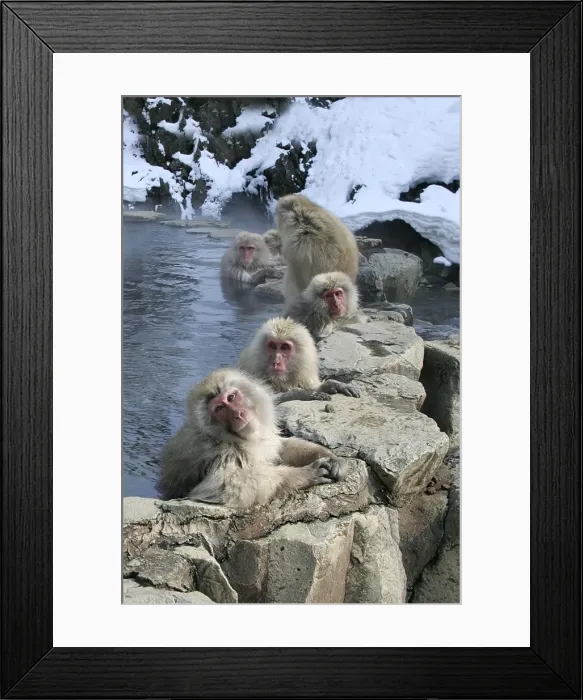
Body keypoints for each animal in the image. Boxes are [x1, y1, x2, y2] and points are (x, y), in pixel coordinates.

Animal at [157, 368, 347, 509]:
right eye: (219, 408)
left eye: (231, 397)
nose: (238, 414)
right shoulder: (220, 452)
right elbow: (227, 486)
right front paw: (305, 474)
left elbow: (279, 448)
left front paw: (329, 456)